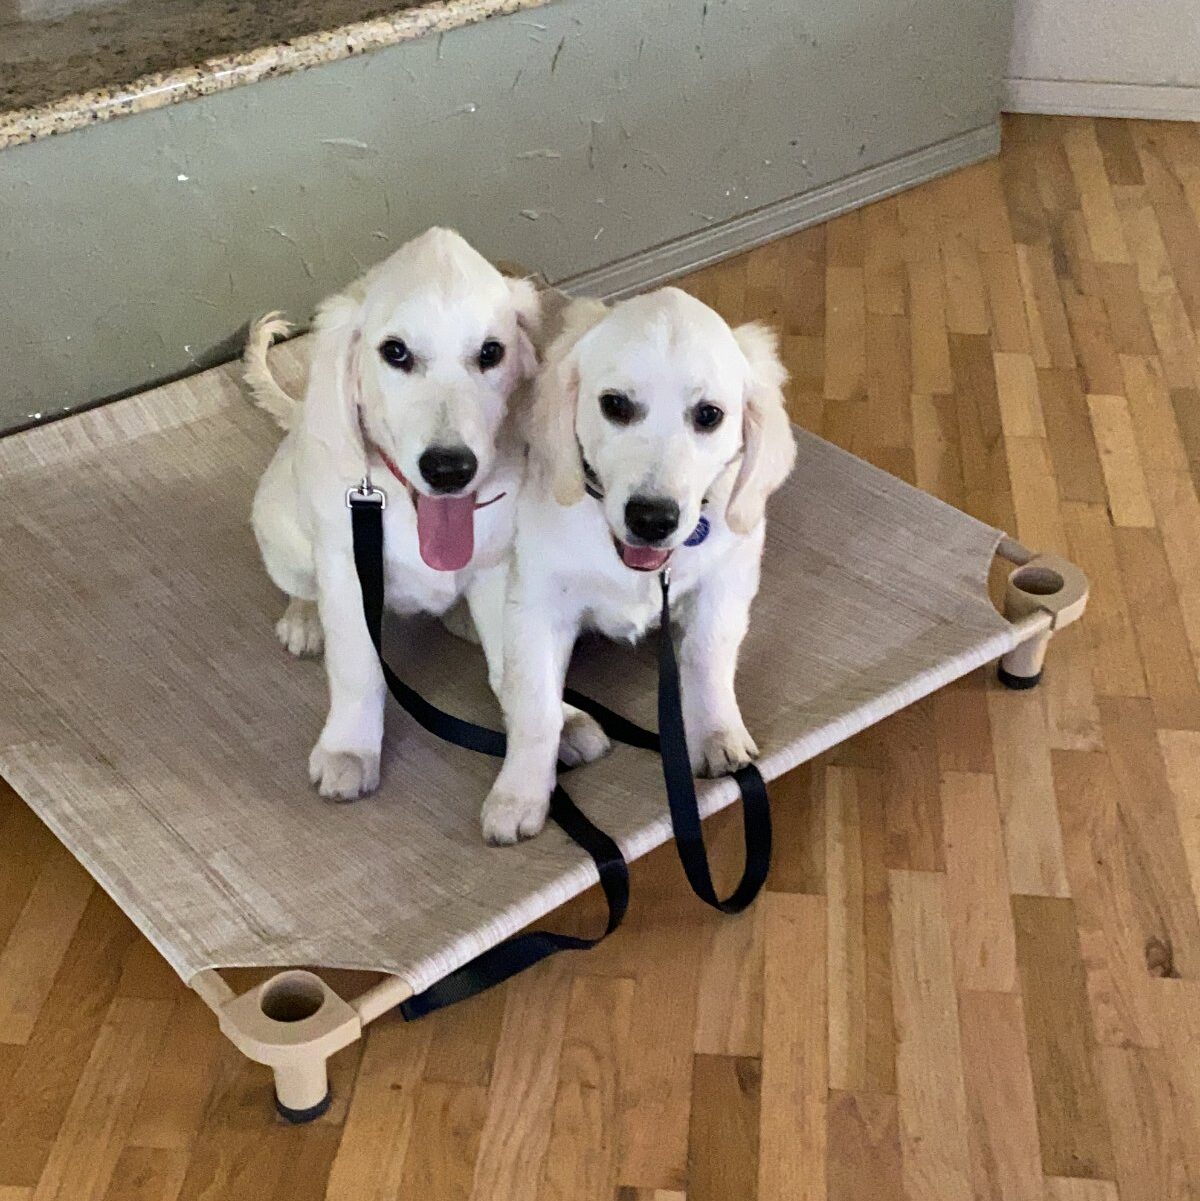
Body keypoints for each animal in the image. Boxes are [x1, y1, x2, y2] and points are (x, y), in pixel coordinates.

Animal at [248, 229, 610, 802]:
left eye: (491, 352)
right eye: (394, 352)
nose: (449, 469)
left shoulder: (505, 566)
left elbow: (519, 664)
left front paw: (558, 720)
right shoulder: (350, 574)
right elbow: (357, 669)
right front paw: (350, 749)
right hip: (282, 529)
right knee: (301, 584)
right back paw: (305, 619)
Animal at [478, 287, 797, 845]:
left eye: (709, 415)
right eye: (615, 405)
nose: (652, 519)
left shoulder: (727, 579)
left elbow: (707, 656)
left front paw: (716, 733)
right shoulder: (536, 604)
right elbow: (533, 704)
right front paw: (518, 795)